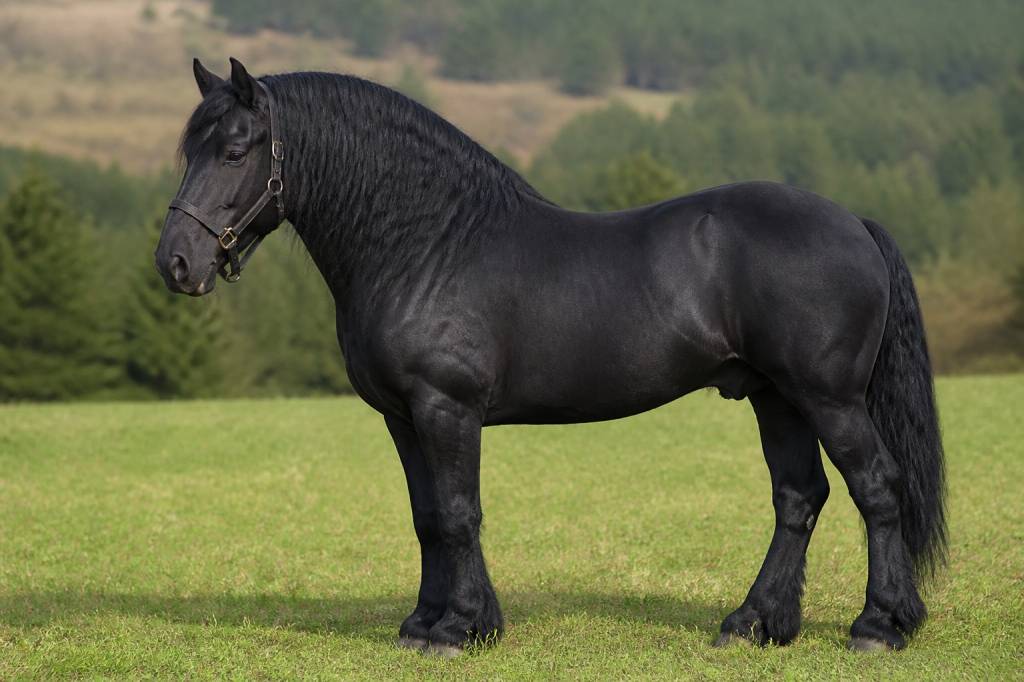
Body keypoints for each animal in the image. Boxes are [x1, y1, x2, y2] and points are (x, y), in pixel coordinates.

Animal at [155, 58, 946, 656]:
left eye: (234, 151)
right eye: (189, 151)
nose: (176, 262)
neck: (425, 244)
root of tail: (854, 223)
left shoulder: (446, 408)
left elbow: (458, 513)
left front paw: (458, 629)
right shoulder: (402, 418)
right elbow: (426, 515)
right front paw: (425, 623)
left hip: (827, 397)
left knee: (877, 488)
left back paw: (879, 625)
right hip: (774, 397)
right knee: (798, 498)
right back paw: (753, 624)